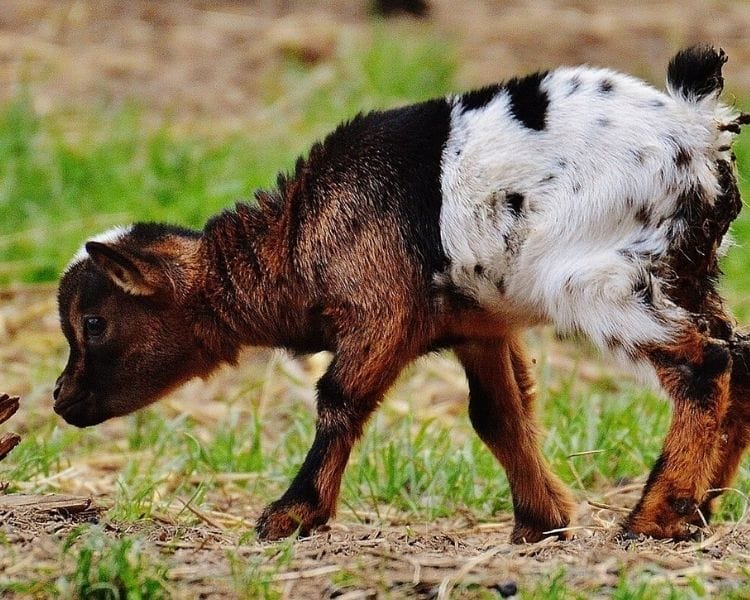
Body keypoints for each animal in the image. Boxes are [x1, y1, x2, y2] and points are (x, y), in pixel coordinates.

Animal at [55, 46, 749, 543]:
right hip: (688, 272)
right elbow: (500, 415)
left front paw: (291, 516)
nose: (61, 400)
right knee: (737, 360)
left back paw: (655, 519)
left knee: (702, 364)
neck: (297, 233)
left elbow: (339, 399)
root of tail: (696, 130)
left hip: (604, 281)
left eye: (94, 323)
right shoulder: (478, 327)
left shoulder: (379, 311)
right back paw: (701, 511)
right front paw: (542, 520)